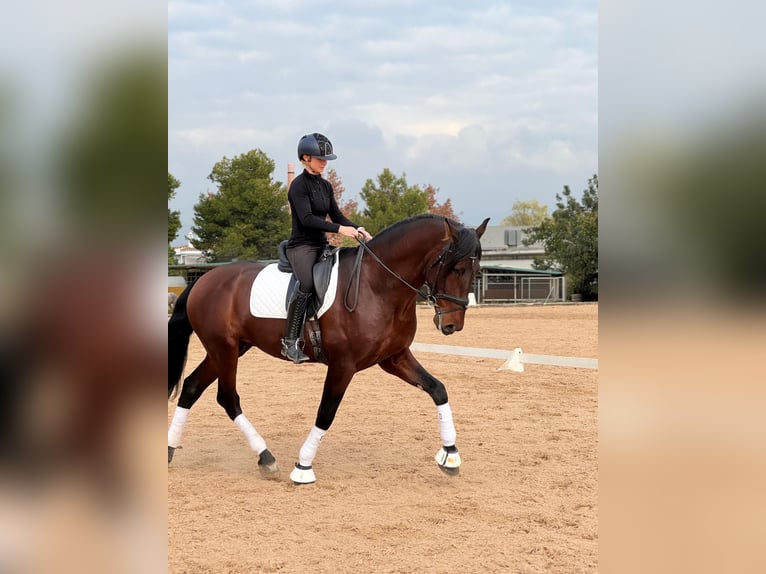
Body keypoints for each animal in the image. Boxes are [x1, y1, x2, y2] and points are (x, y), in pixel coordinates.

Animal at [168, 214, 489, 483]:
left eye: (476, 271)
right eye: (456, 268)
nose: (452, 325)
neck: (378, 284)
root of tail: (203, 280)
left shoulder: (395, 358)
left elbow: (438, 389)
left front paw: (450, 455)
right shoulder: (343, 365)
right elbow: (326, 412)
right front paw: (303, 467)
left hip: (228, 350)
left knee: (192, 387)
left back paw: (171, 450)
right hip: (224, 349)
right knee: (227, 398)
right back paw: (266, 458)